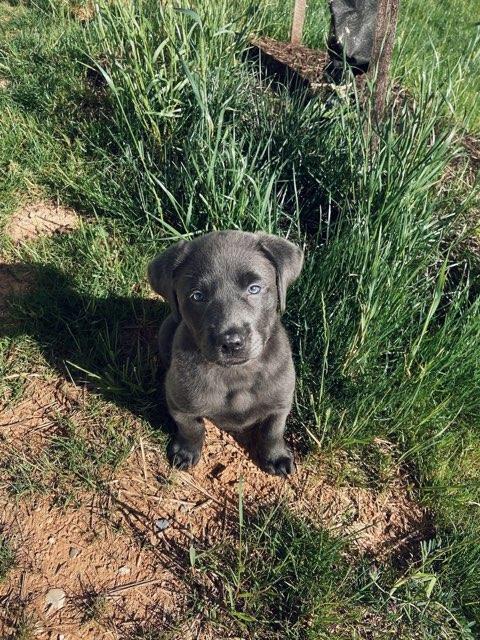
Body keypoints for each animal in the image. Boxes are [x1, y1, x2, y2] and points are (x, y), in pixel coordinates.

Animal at [148, 230, 302, 476]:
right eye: (197, 296)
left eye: (254, 288)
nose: (231, 342)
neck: (236, 373)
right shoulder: (180, 405)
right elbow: (191, 428)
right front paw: (186, 452)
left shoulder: (280, 404)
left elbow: (272, 432)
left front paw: (277, 457)